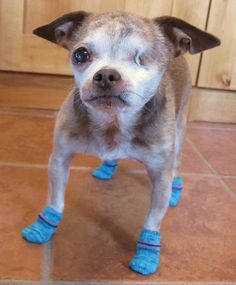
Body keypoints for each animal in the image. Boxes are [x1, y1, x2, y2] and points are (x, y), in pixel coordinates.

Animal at [21, 10, 219, 274]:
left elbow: (152, 221)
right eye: (80, 54)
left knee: (176, 164)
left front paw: (147, 254)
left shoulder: (160, 179)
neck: (113, 122)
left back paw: (176, 189)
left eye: (142, 58)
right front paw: (43, 226)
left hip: (179, 131)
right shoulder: (59, 160)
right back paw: (107, 167)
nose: (106, 74)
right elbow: (56, 201)